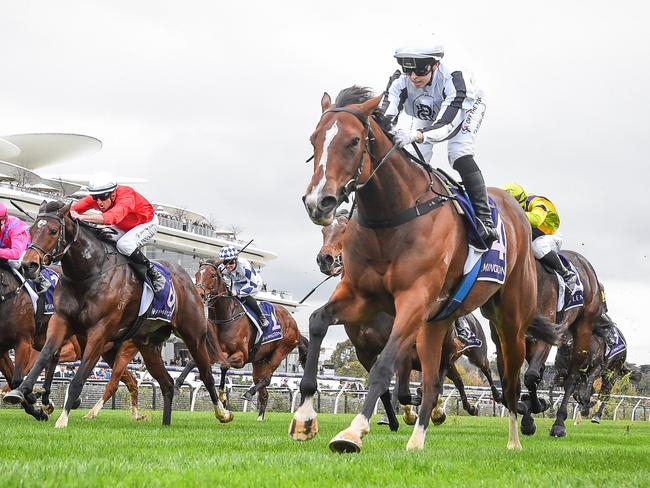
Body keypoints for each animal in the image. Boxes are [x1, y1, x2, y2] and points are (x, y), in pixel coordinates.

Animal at [1, 201, 230, 428]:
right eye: (31, 230)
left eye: (53, 230)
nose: (29, 265)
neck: (88, 274)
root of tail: (188, 281)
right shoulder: (61, 321)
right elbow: (44, 356)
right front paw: (22, 393)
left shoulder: (99, 331)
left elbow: (79, 377)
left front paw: (62, 418)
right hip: (147, 345)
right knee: (166, 383)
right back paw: (165, 423)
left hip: (193, 336)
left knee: (206, 374)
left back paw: (223, 413)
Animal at [292, 87, 548, 454]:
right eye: (314, 140)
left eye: (353, 141)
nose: (318, 202)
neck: (393, 216)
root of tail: (516, 210)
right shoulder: (361, 296)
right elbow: (317, 321)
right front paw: (304, 417)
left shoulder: (412, 302)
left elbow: (384, 365)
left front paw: (353, 431)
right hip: (436, 324)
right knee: (431, 383)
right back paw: (418, 438)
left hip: (509, 321)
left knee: (509, 378)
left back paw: (514, 437)